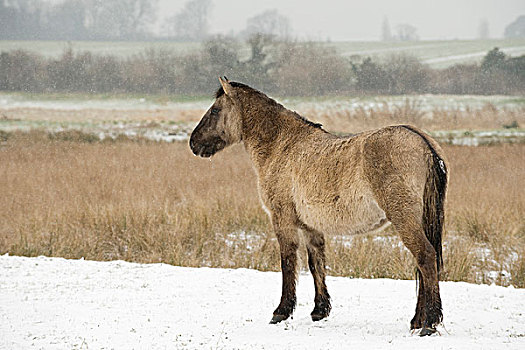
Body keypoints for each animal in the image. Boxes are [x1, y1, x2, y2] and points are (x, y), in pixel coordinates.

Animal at [188, 77, 446, 336]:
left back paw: (429, 323)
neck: (281, 145)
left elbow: (288, 261)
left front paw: (281, 312)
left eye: (215, 110)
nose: (193, 143)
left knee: (425, 257)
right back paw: (417, 321)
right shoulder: (310, 226)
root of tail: (423, 143)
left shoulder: (282, 219)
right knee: (422, 263)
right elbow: (316, 264)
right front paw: (319, 311)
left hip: (405, 219)